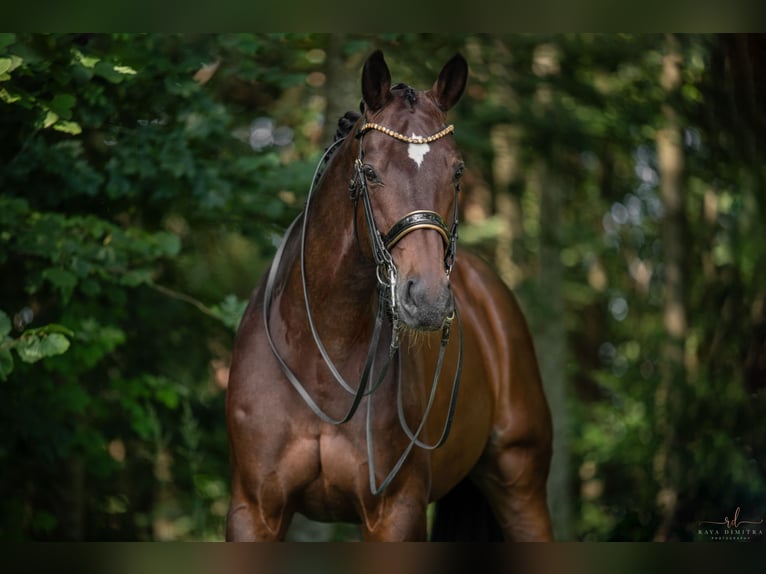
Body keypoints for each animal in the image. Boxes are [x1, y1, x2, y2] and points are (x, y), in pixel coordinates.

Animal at [225, 50, 556, 544]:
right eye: (370, 171)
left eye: (457, 170)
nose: (429, 299)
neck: (320, 360)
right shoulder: (254, 512)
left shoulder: (397, 512)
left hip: (521, 485)